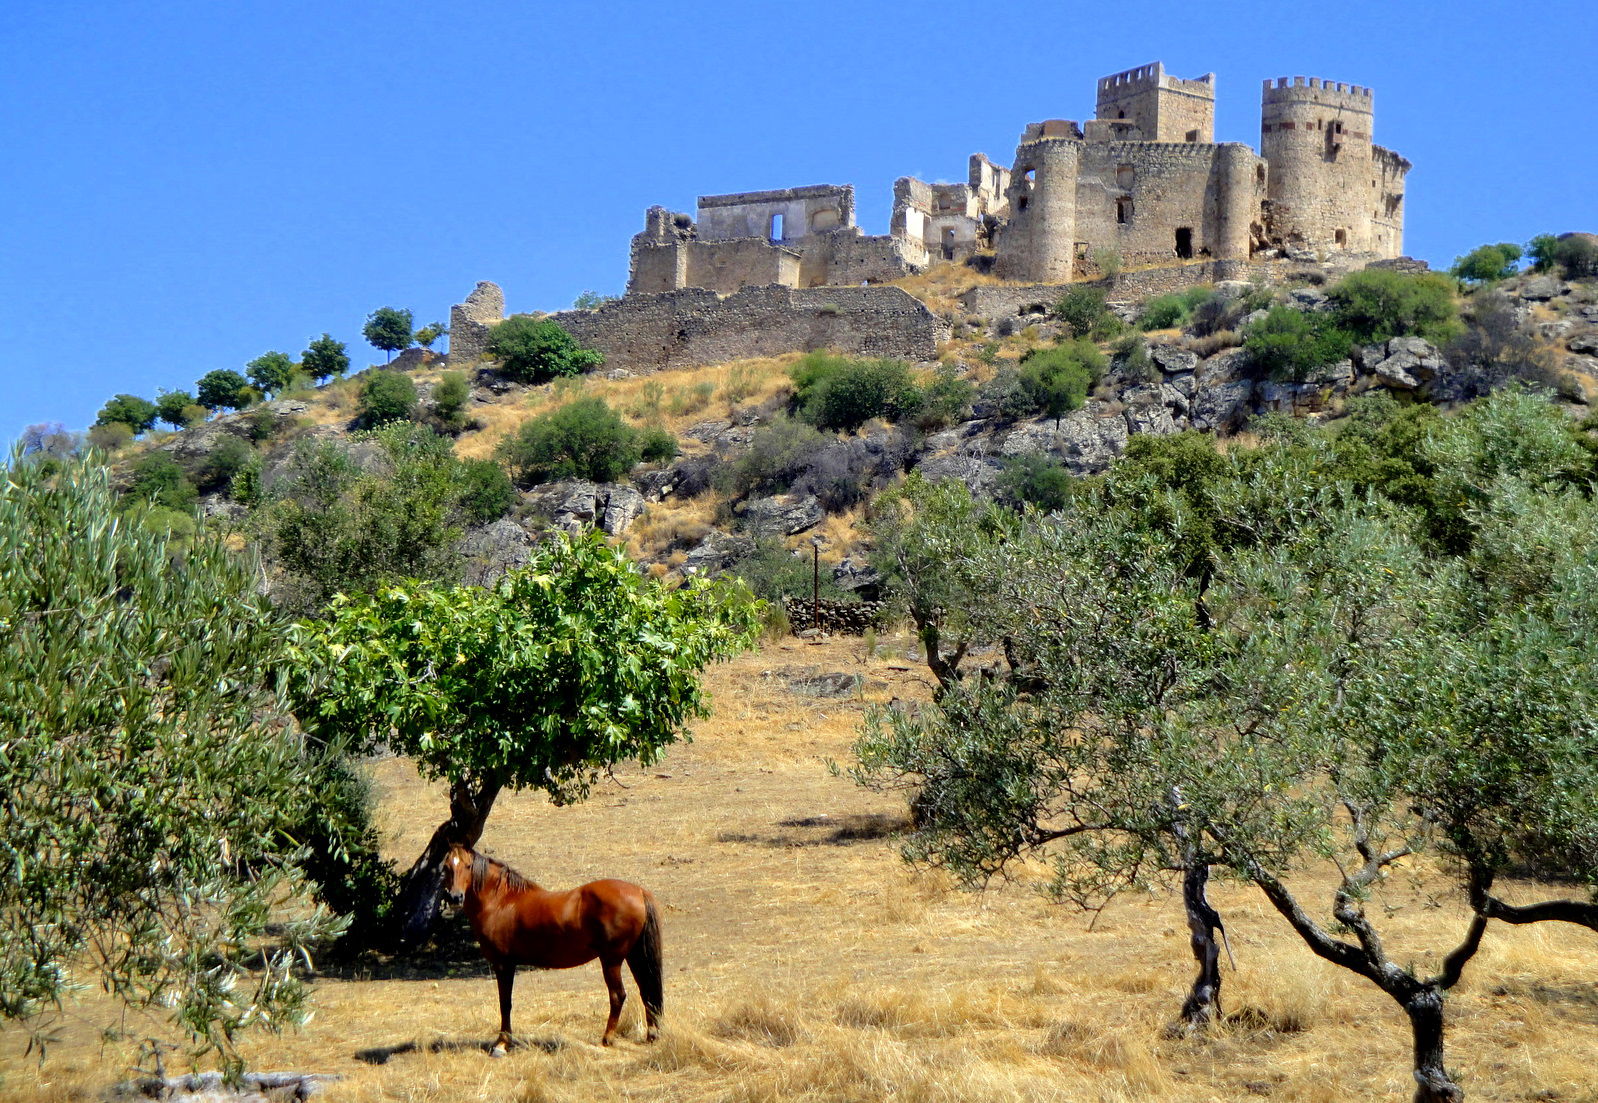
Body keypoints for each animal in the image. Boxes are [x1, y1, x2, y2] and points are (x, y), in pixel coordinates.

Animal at [437, 844, 661, 1048]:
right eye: (447, 867)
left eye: (468, 866)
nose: (455, 897)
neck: (501, 902)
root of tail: (639, 891)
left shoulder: (503, 964)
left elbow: (505, 1003)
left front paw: (502, 1043)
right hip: (634, 955)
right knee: (647, 991)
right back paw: (651, 1035)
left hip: (611, 960)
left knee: (618, 996)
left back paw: (607, 1038)